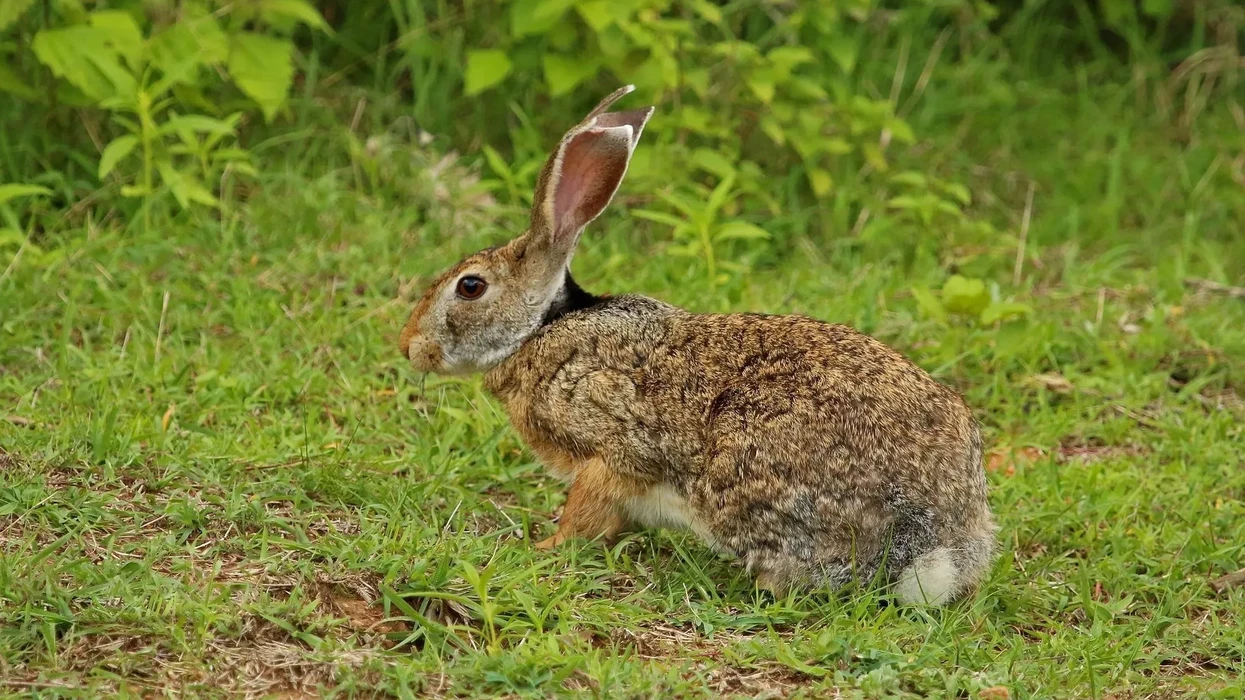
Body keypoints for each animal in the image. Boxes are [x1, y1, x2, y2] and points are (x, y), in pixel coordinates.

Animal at [398, 86, 997, 605]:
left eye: (470, 287)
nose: (409, 346)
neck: (542, 327)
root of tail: (935, 544)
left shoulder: (609, 448)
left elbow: (588, 509)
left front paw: (546, 546)